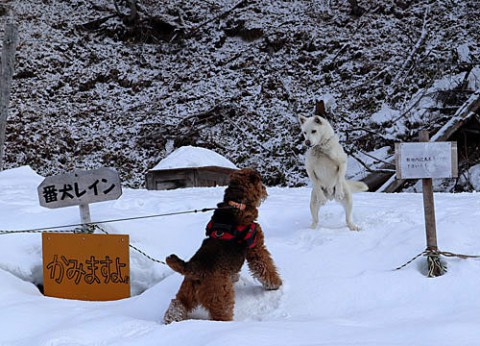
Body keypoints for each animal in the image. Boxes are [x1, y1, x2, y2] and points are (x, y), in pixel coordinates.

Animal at [163, 169, 284, 324]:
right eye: (260, 183)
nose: (265, 190)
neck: (236, 203)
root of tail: (193, 269)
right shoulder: (256, 247)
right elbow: (265, 266)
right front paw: (275, 284)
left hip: (186, 292)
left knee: (176, 305)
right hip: (220, 298)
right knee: (220, 316)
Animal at [298, 100, 370, 230]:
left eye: (314, 131)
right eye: (304, 132)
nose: (307, 142)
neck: (320, 149)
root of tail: (330, 197)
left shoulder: (342, 162)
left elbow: (339, 178)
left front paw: (339, 192)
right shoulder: (309, 169)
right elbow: (316, 183)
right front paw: (322, 197)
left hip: (348, 200)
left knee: (348, 219)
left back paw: (353, 226)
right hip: (313, 202)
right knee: (315, 219)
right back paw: (312, 227)